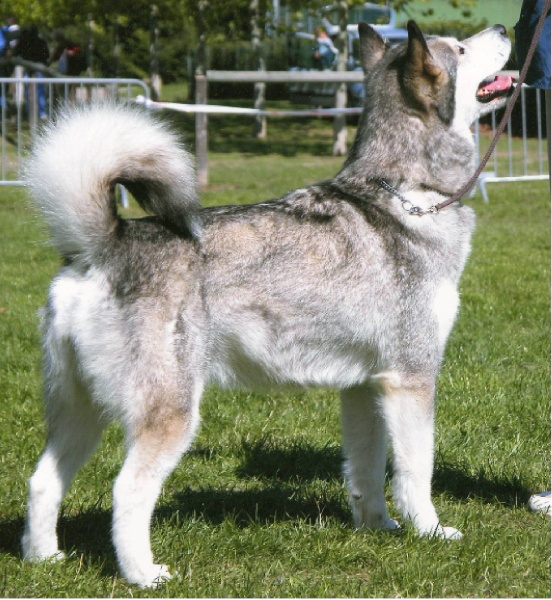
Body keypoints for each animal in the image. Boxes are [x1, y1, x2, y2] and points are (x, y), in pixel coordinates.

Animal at [22, 21, 512, 588]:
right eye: (460, 47)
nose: (504, 26)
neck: (408, 191)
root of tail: (104, 244)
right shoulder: (412, 379)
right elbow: (417, 472)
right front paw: (431, 531)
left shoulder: (365, 388)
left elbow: (367, 470)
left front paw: (378, 527)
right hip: (171, 413)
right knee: (127, 491)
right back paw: (145, 574)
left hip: (82, 411)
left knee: (42, 481)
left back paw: (44, 559)